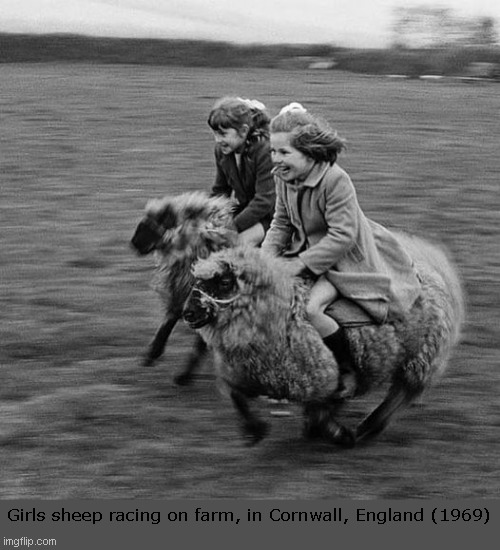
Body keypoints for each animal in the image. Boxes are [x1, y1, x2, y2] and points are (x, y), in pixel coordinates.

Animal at [130, 192, 237, 386]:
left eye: (157, 222)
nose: (134, 243)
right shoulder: (184, 293)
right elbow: (168, 321)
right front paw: (151, 354)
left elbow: (199, 344)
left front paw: (183, 376)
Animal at [183, 238, 464, 448]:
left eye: (224, 282)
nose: (188, 313)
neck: (279, 314)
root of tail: (433, 269)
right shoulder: (245, 375)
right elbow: (236, 397)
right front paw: (255, 430)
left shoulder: (321, 378)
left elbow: (322, 410)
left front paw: (337, 433)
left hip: (421, 357)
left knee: (403, 393)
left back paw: (369, 427)